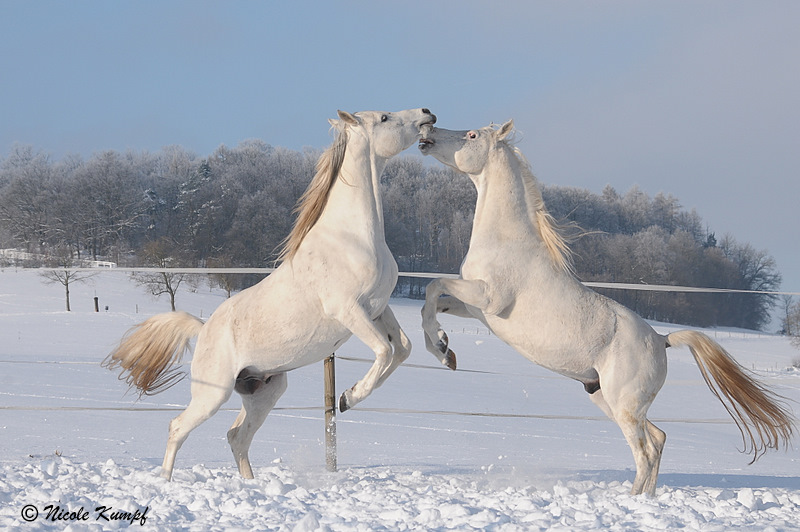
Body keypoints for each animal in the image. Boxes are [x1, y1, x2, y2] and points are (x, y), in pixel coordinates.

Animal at [106, 106, 438, 480]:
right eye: (384, 118)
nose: (427, 113)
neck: (352, 238)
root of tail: (202, 329)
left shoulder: (379, 309)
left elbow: (403, 349)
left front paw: (348, 396)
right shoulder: (348, 310)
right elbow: (383, 350)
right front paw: (347, 398)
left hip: (264, 391)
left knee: (236, 437)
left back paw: (249, 484)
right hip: (213, 393)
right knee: (178, 427)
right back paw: (165, 482)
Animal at [418, 119, 792, 494]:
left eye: (471, 136)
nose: (426, 133)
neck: (508, 242)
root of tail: (661, 340)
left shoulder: (488, 298)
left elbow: (433, 286)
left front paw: (442, 348)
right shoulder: (474, 308)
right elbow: (431, 304)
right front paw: (445, 351)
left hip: (624, 406)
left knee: (645, 452)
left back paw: (632, 499)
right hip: (608, 400)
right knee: (658, 439)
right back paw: (645, 499)